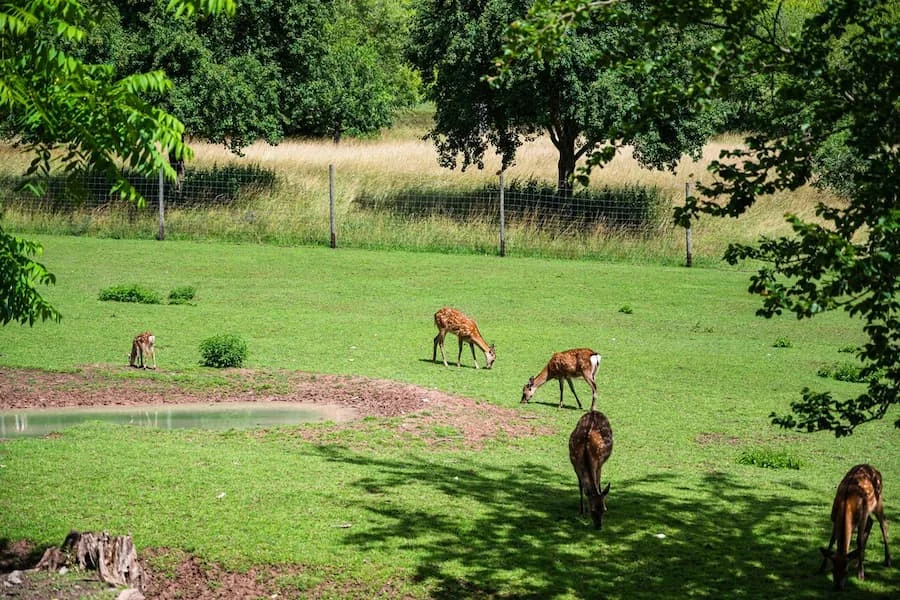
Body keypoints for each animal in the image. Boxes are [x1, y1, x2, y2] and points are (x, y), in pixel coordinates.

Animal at [820, 464, 888, 592]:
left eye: (846, 572)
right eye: (833, 571)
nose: (838, 587)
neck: (846, 505)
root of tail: (874, 468)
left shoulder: (861, 518)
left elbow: (859, 541)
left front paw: (861, 574)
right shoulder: (834, 518)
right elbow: (832, 540)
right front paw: (822, 567)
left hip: (878, 501)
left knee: (883, 523)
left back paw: (887, 560)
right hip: (868, 511)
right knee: (871, 522)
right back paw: (857, 559)